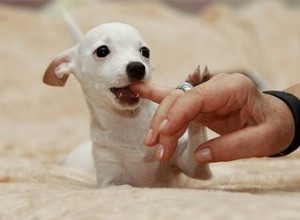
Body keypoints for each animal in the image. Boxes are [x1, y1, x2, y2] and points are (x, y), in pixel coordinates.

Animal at [43, 22, 212, 187]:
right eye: (102, 51)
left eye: (145, 52)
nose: (137, 67)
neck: (128, 122)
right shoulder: (110, 182)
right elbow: (127, 186)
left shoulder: (191, 164)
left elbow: (196, 150)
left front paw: (196, 88)